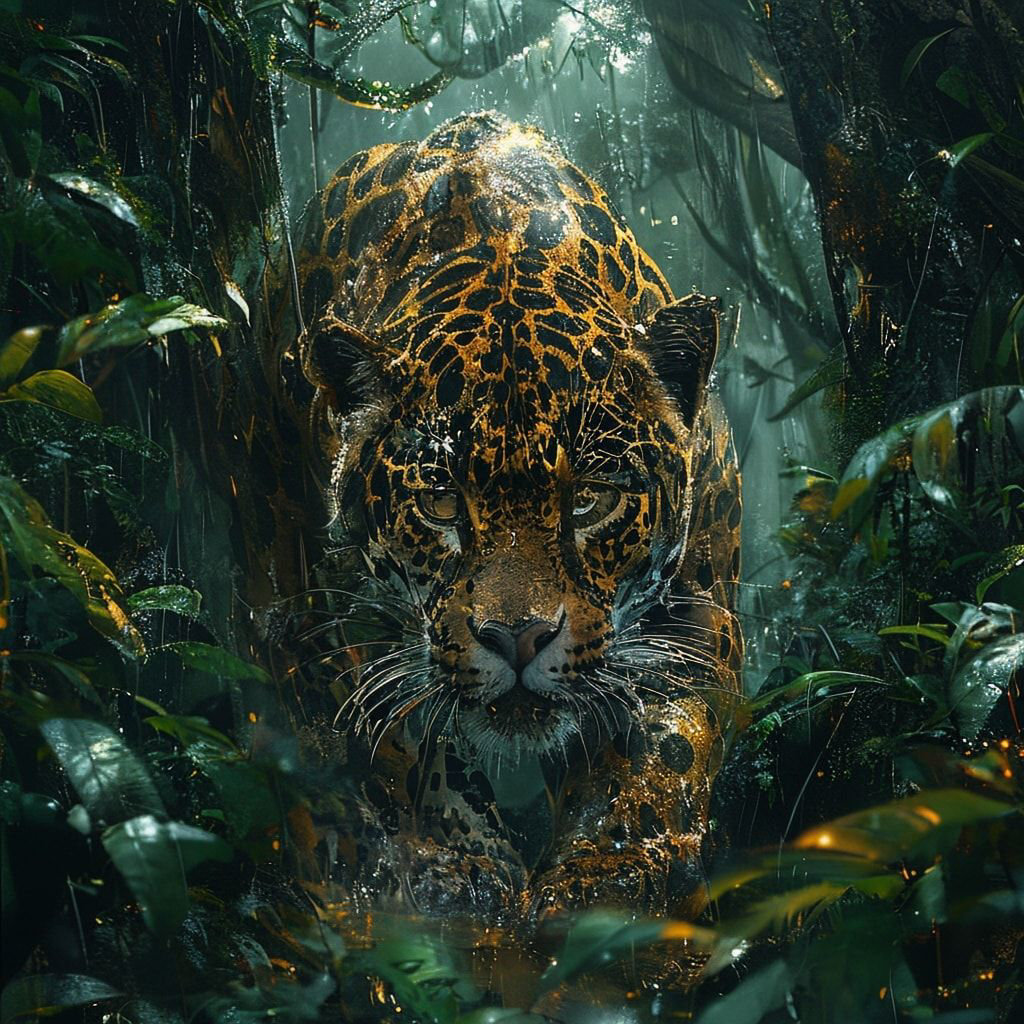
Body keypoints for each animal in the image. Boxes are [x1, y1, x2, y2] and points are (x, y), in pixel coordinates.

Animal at [293, 111, 742, 928]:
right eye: (441, 502)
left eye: (590, 498)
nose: (518, 638)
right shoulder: (349, 611)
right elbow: (406, 726)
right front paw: (457, 860)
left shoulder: (698, 606)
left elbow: (658, 736)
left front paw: (607, 864)